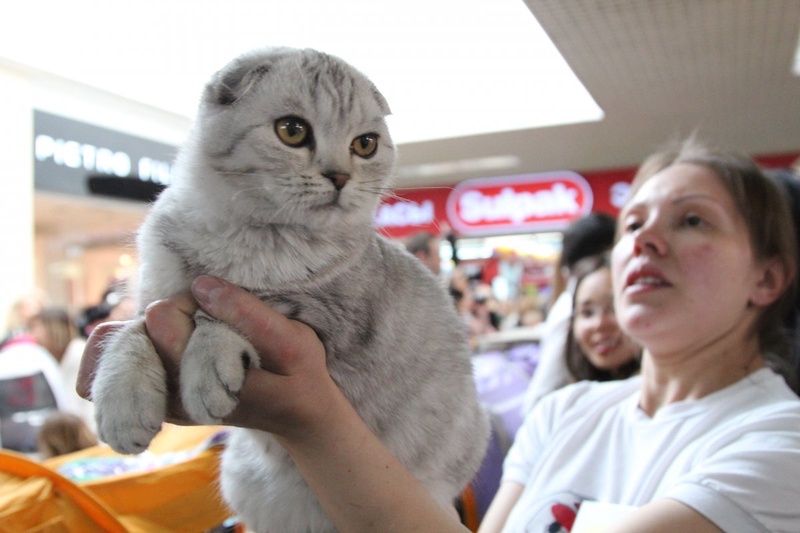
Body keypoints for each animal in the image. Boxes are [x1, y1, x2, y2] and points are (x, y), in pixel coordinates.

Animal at [94, 46, 494, 532]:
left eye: (365, 144)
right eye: (292, 130)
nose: (339, 176)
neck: (249, 237)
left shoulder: (330, 317)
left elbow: (234, 306)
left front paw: (207, 363)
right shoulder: (155, 296)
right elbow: (130, 332)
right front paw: (121, 401)